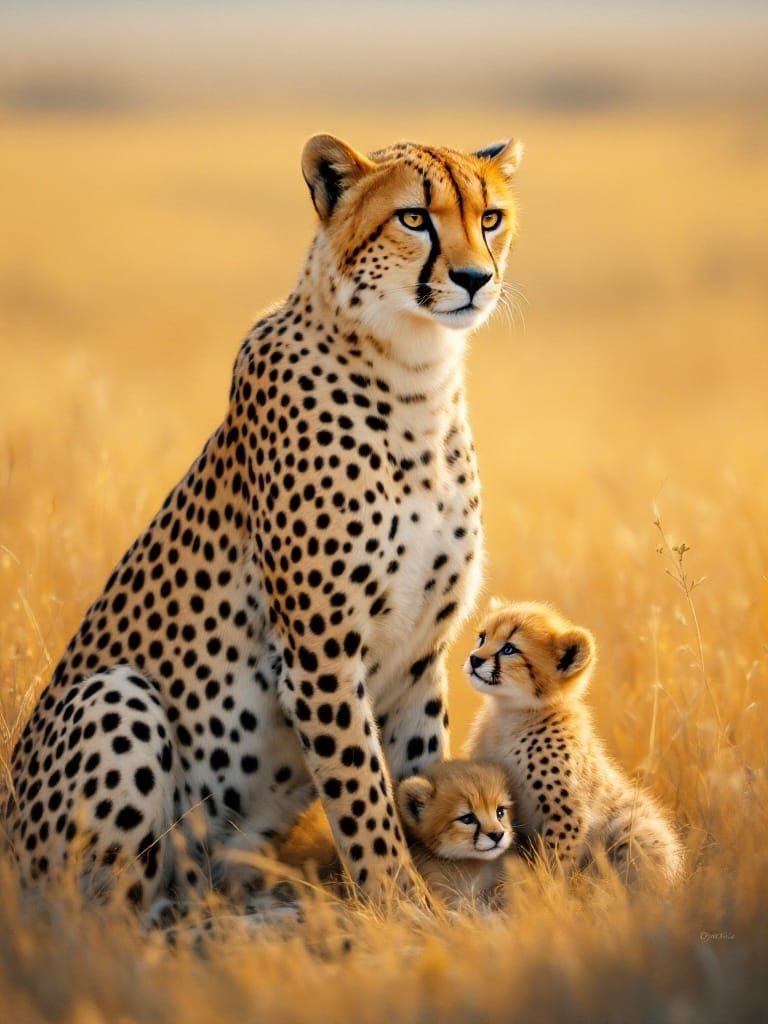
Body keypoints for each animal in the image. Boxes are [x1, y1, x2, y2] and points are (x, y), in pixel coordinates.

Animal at [4, 133, 524, 907]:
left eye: (490, 218)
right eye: (414, 218)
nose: (473, 278)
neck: (414, 374)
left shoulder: (419, 656)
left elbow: (417, 779)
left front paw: (440, 893)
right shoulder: (320, 657)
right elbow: (366, 801)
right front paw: (403, 907)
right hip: (113, 698)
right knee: (106, 918)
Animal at [464, 599, 684, 887]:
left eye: (509, 648)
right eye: (482, 637)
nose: (474, 658)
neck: (512, 713)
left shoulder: (567, 814)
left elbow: (554, 861)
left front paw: (545, 892)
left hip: (634, 828)